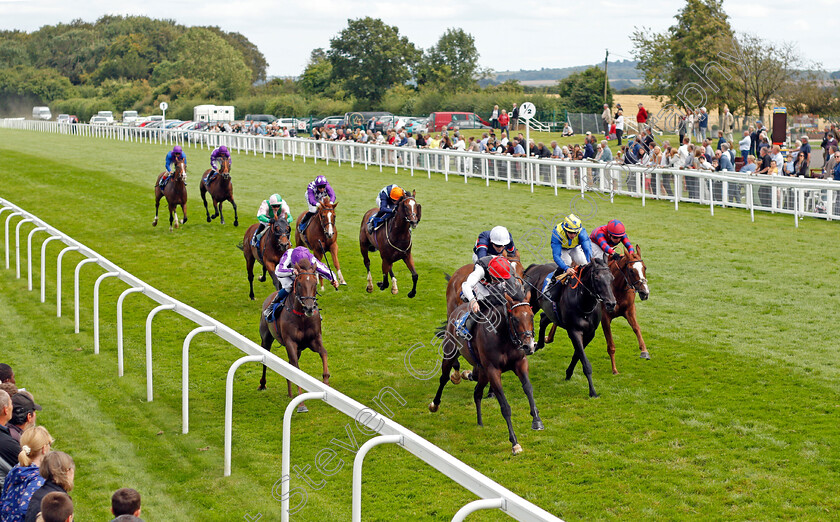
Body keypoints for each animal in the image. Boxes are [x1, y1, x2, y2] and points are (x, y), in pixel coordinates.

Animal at [260, 256, 328, 410]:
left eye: (315, 283)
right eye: (300, 284)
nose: (309, 308)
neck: (302, 317)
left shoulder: (314, 340)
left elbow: (324, 353)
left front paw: (327, 386)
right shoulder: (291, 342)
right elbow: (297, 370)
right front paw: (301, 404)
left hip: (299, 349)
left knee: (290, 364)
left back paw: (290, 393)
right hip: (266, 339)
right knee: (265, 362)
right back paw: (262, 384)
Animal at [430, 280, 540, 456]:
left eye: (531, 316)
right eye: (515, 319)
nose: (529, 346)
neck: (504, 338)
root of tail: (457, 310)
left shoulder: (520, 363)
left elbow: (528, 388)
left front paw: (536, 420)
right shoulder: (493, 370)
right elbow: (505, 406)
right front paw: (515, 443)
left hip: (482, 371)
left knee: (477, 392)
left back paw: (480, 422)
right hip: (450, 352)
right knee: (444, 378)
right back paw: (435, 403)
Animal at [524, 258, 616, 396]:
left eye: (612, 278)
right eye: (596, 278)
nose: (611, 303)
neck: (584, 304)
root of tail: (534, 267)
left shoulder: (590, 334)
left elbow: (577, 355)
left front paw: (568, 373)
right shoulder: (574, 331)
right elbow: (585, 361)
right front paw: (592, 391)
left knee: (543, 319)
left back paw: (539, 344)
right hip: (531, 304)